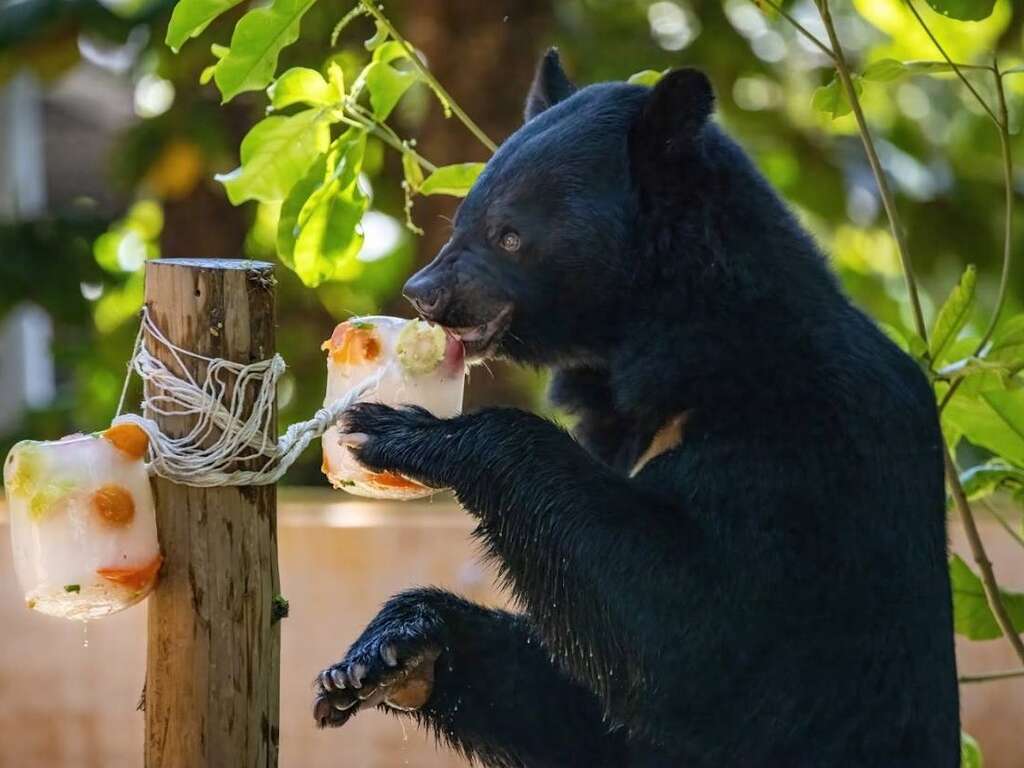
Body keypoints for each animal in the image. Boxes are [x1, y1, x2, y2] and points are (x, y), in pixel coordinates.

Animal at [313, 51, 958, 765]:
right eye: (462, 220)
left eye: (509, 236)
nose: (423, 292)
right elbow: (588, 708)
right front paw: (387, 652)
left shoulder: (799, 446)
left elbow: (694, 636)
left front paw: (400, 431)